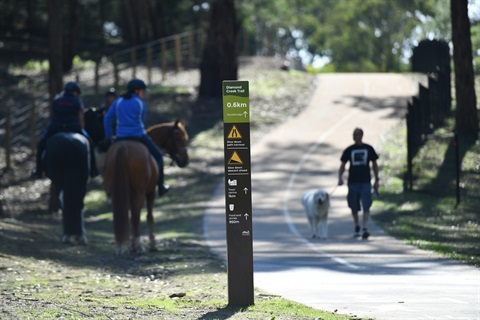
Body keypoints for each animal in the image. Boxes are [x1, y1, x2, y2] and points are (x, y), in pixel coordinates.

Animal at [103, 120, 189, 255]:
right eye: (179, 138)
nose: (185, 161)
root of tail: (123, 148)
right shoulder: (150, 192)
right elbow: (149, 216)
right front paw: (152, 244)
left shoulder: (129, 194)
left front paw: (131, 244)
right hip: (141, 193)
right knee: (136, 216)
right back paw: (139, 246)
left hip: (118, 193)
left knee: (126, 216)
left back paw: (122, 245)